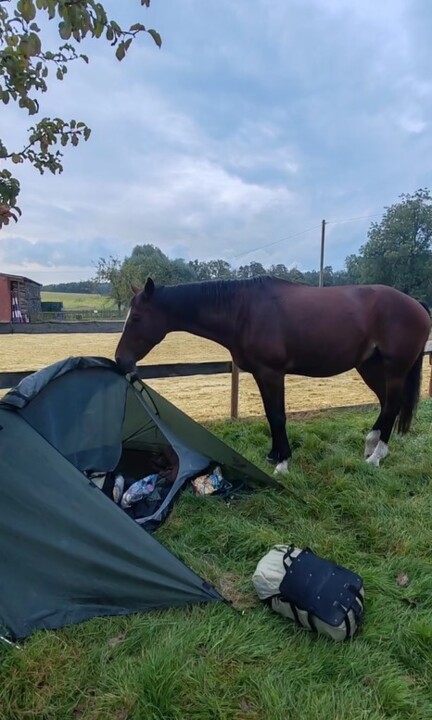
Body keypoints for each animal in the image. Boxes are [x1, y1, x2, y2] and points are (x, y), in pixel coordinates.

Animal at [115, 276, 431, 473]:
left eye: (137, 318)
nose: (120, 360)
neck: (243, 311)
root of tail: (416, 304)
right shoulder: (259, 373)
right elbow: (270, 415)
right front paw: (273, 455)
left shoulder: (272, 373)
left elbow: (278, 416)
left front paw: (283, 463)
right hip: (371, 367)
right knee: (386, 404)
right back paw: (371, 446)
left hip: (394, 369)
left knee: (392, 405)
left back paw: (376, 457)